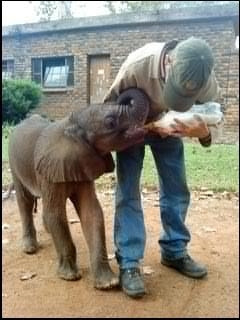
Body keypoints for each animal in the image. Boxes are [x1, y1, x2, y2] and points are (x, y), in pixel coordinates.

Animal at [8, 88, 149, 290]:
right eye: (110, 122)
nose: (123, 95)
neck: (72, 124)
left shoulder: (84, 162)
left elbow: (92, 212)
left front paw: (108, 284)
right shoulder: (48, 170)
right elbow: (55, 214)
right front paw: (69, 277)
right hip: (14, 163)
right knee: (25, 201)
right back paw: (29, 249)